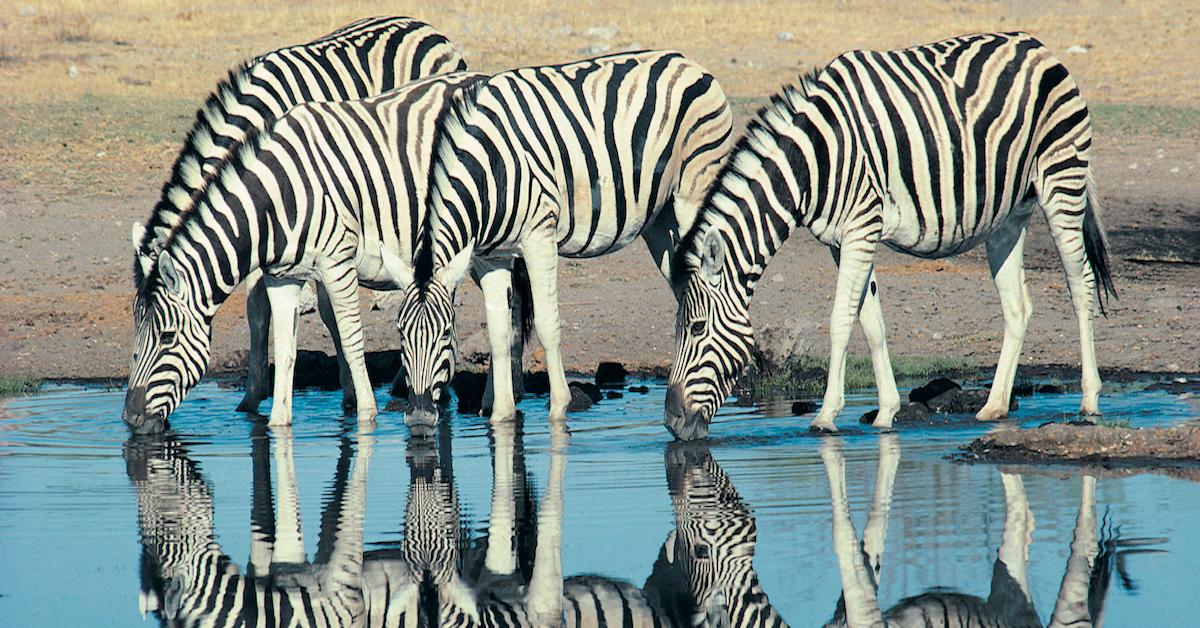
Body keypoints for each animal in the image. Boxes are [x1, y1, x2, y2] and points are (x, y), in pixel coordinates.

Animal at [129, 15, 465, 422]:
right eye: (134, 330)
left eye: (166, 337)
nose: (129, 418)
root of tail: (422, 25)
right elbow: (269, 316)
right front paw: (255, 399)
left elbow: (284, 312)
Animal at [376, 51, 729, 429]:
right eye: (400, 333)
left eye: (446, 333)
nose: (419, 416)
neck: (489, 172)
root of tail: (686, 60)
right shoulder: (490, 258)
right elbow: (499, 334)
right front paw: (501, 416)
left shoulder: (538, 237)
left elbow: (547, 325)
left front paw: (559, 406)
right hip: (660, 222)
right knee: (686, 291)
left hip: (693, 194)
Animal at [667, 31, 1113, 439]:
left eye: (697, 329)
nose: (672, 422)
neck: (812, 162)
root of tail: (1037, 45)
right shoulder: (840, 240)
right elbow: (871, 322)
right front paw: (886, 412)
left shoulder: (861, 226)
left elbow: (841, 320)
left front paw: (826, 415)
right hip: (1007, 216)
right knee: (1017, 306)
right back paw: (994, 407)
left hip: (1062, 181)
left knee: (1081, 286)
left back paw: (1089, 401)